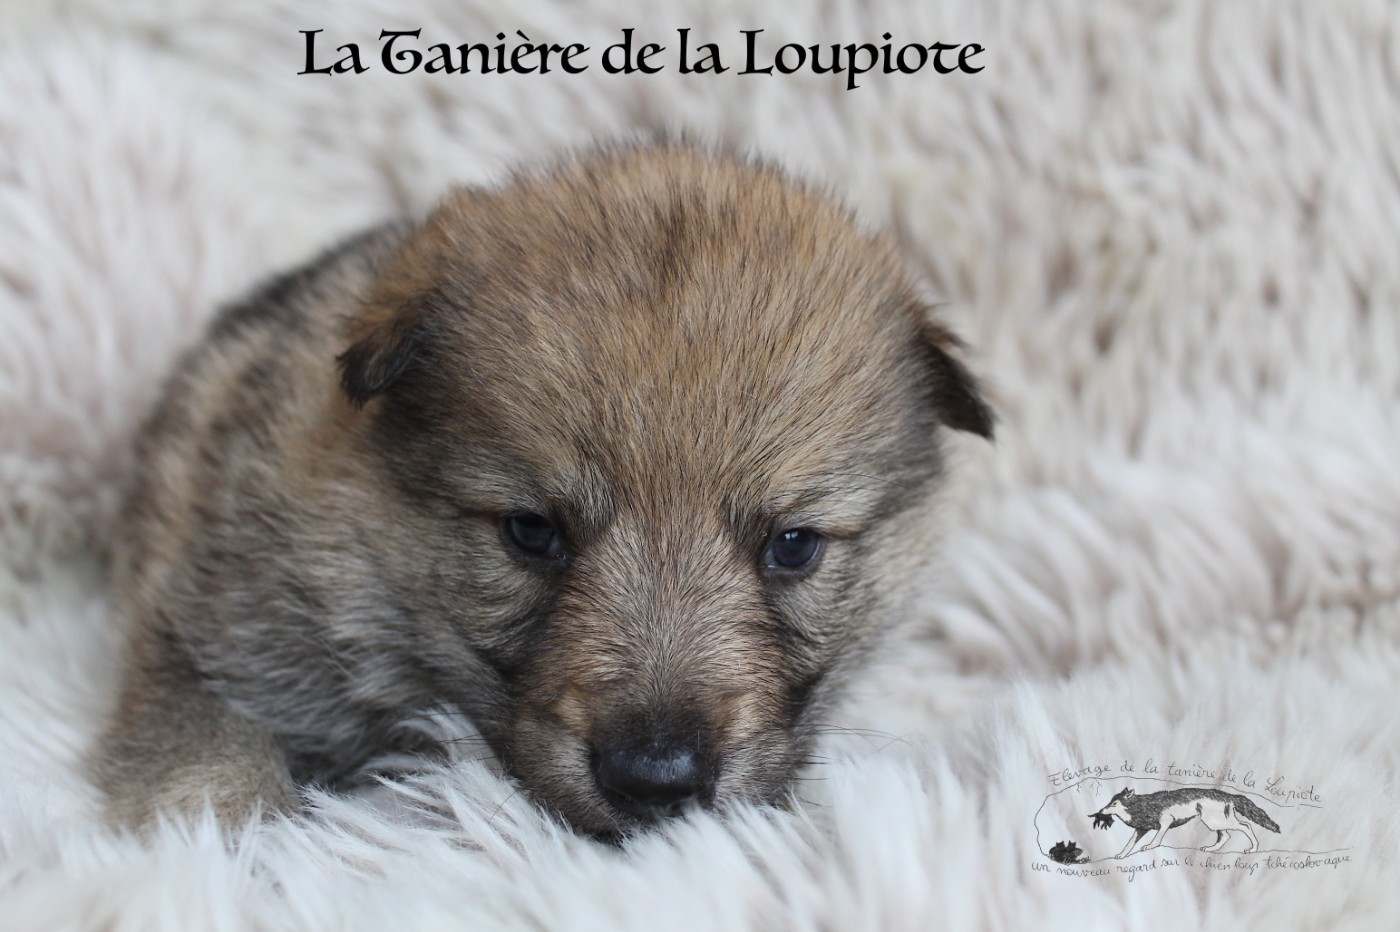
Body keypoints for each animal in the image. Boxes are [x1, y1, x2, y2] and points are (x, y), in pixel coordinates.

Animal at [1091, 786, 1281, 858]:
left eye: (1113, 804)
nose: (1100, 811)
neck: (1141, 806)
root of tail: (1230, 795)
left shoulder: (1166, 822)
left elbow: (1157, 839)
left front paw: (1149, 846)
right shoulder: (1140, 829)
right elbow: (1129, 843)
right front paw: (1121, 855)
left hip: (1215, 822)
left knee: (1245, 826)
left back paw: (1253, 849)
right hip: (1214, 823)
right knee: (1226, 836)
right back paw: (1210, 849)